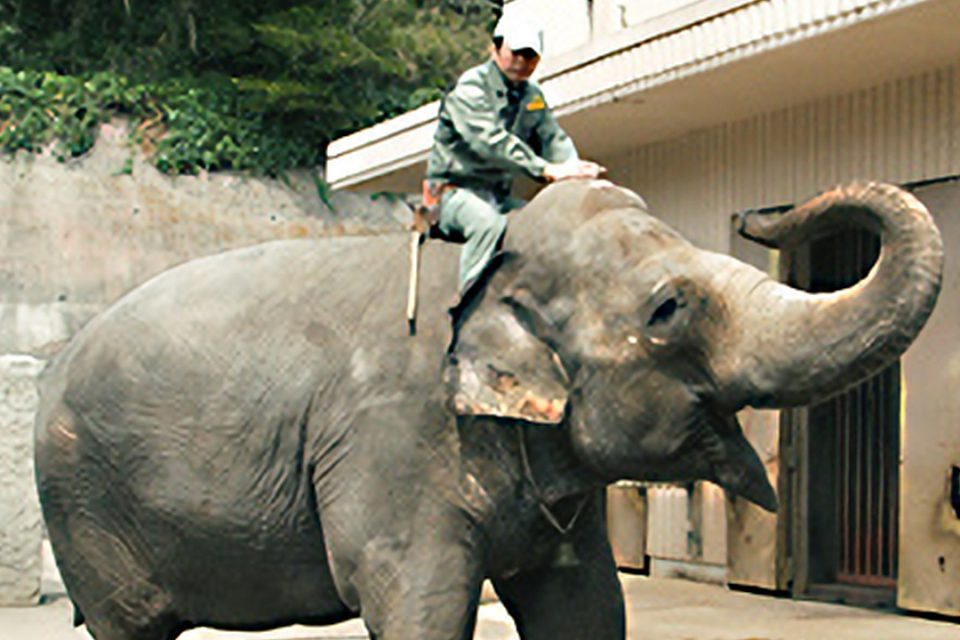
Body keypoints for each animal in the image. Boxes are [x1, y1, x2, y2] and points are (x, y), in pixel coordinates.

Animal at [35, 179, 944, 640]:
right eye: (666, 310)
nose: (761, 216)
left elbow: (586, 606)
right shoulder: (393, 440)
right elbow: (419, 600)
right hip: (83, 508)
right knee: (129, 629)